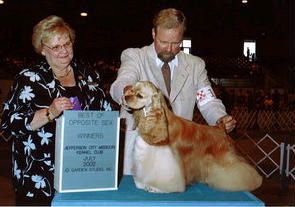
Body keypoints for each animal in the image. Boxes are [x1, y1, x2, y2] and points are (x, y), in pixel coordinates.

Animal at [122, 80, 264, 192]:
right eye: (130, 90)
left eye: (139, 95)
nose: (125, 97)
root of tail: (221, 128)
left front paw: (158, 188)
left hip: (224, 158)